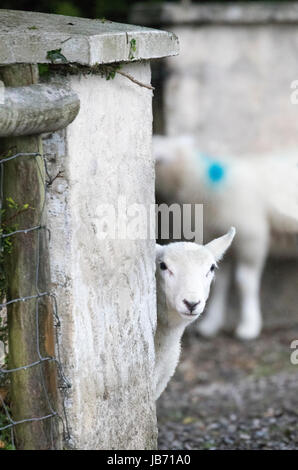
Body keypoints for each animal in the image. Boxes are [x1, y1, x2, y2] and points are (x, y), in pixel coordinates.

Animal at [155, 136, 298, 342]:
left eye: (159, 159)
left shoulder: (252, 236)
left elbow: (244, 281)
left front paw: (249, 326)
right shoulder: (216, 234)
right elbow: (221, 282)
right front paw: (212, 324)